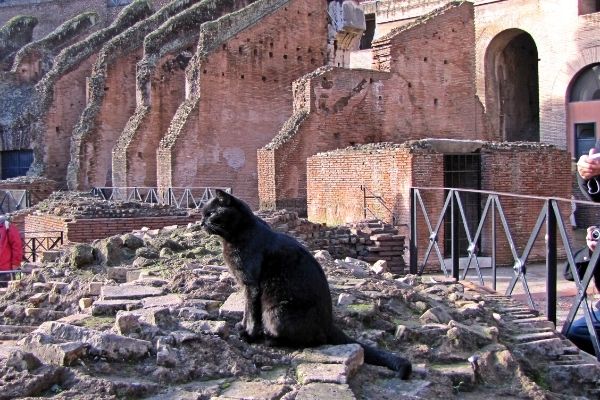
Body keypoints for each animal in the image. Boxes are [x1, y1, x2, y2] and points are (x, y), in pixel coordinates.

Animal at [202, 190, 412, 378]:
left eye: (211, 213)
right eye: (203, 213)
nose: (201, 222)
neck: (239, 234)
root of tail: (330, 324)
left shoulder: (251, 285)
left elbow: (252, 313)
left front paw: (249, 335)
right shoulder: (245, 286)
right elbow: (246, 311)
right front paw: (242, 327)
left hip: (276, 311)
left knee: (312, 340)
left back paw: (269, 340)